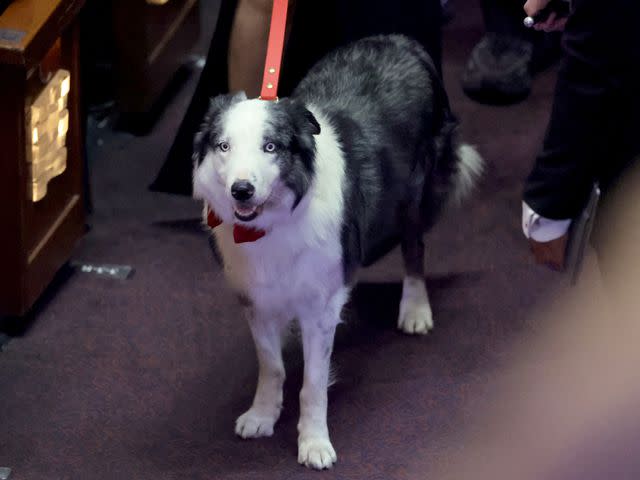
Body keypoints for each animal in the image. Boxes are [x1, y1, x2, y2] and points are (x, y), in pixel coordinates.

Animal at [192, 35, 482, 470]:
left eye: (271, 146)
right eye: (224, 146)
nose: (241, 191)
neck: (274, 223)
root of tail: (402, 41)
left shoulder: (318, 306)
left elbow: (313, 384)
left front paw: (314, 443)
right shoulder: (256, 299)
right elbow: (271, 366)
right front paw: (262, 415)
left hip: (412, 194)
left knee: (414, 249)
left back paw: (415, 309)